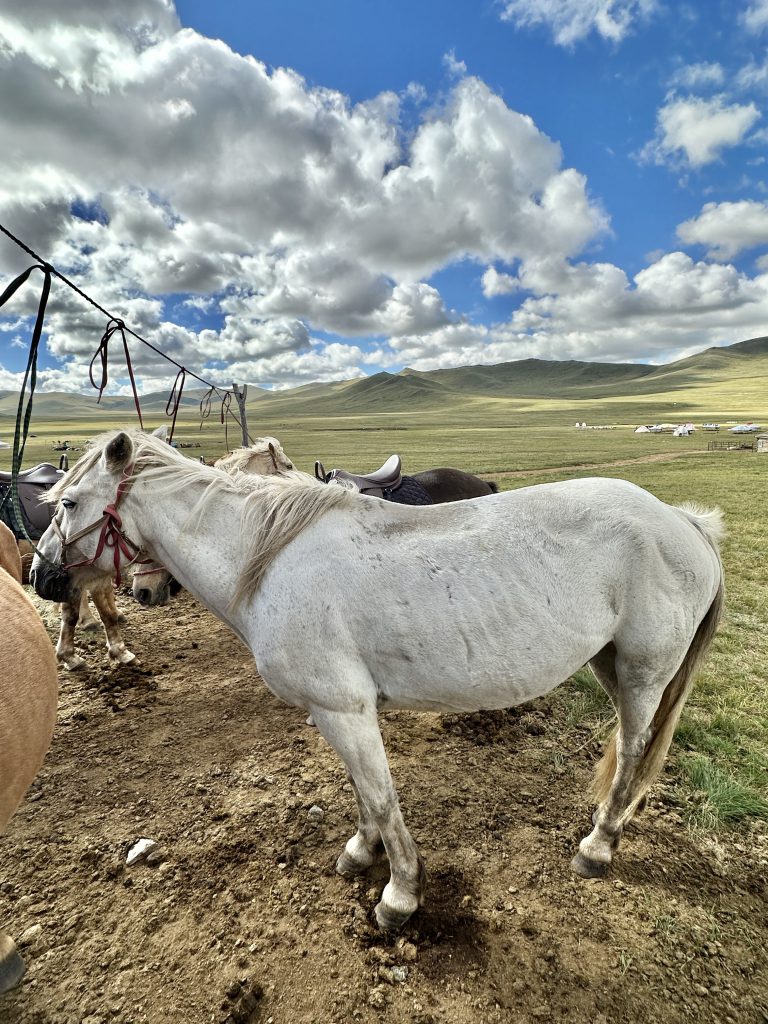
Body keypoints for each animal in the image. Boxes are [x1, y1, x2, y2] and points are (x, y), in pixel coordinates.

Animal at [31, 430, 724, 931]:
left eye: (68, 503)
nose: (40, 579)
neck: (270, 560)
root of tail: (683, 521)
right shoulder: (339, 713)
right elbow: (363, 792)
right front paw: (361, 852)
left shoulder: (344, 709)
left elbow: (383, 797)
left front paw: (399, 893)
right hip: (608, 663)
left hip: (642, 671)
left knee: (633, 751)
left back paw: (598, 845)